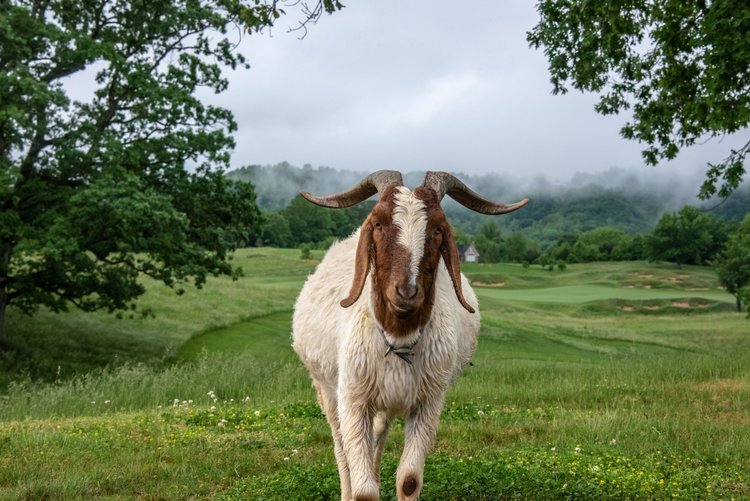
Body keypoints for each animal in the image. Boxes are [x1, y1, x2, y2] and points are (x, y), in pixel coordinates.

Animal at [290, 170, 524, 498]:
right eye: (378, 223)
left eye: (438, 228)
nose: (406, 291)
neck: (397, 339)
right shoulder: (353, 398)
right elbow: (363, 487)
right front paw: (359, 489)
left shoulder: (428, 402)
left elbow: (409, 480)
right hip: (326, 386)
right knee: (340, 448)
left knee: (378, 434)